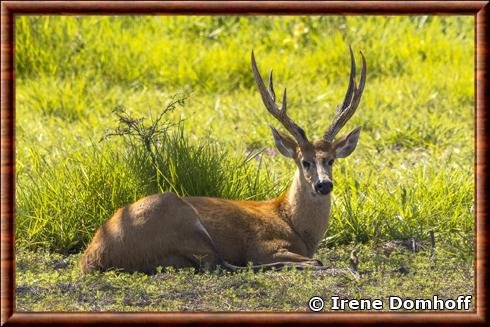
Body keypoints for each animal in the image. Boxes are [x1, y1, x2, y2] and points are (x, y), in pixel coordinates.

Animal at [79, 47, 364, 276]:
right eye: (304, 161)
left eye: (330, 160)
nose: (323, 185)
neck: (291, 222)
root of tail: (92, 256)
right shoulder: (264, 245)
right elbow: (307, 260)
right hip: (183, 221)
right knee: (220, 264)